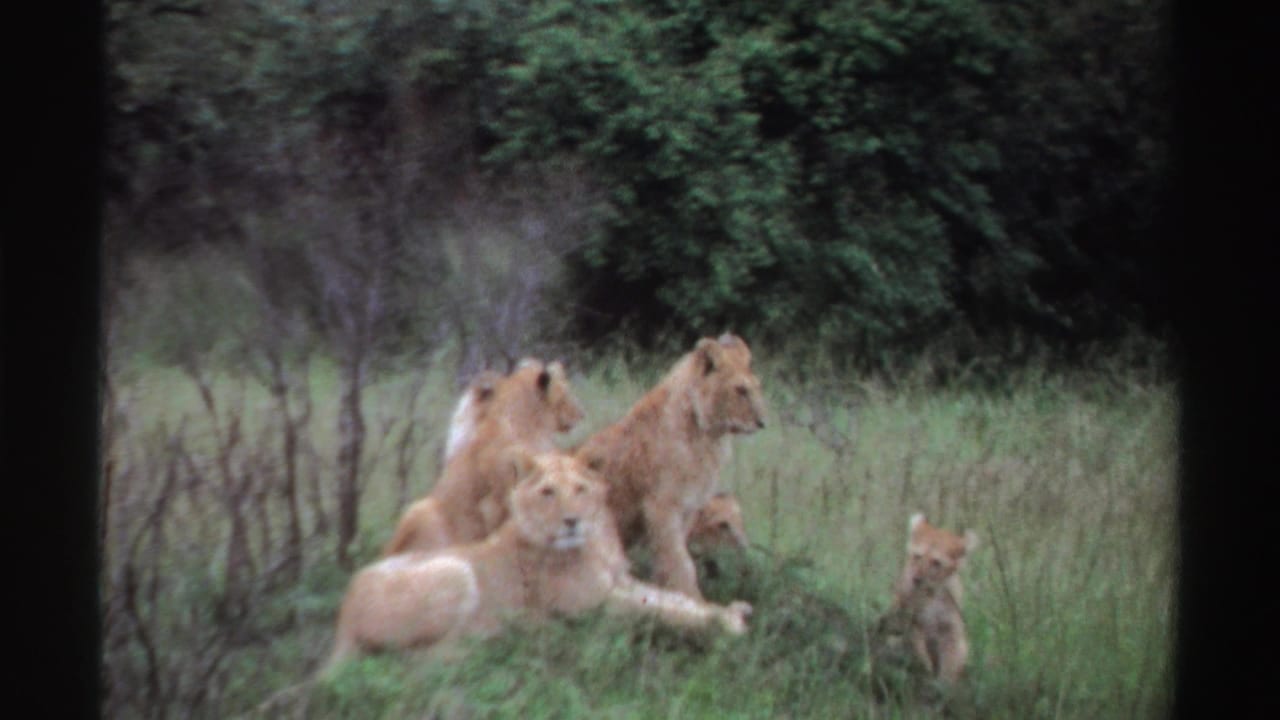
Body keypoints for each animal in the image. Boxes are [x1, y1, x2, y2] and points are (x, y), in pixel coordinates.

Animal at [322, 451, 754, 676]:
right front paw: (727, 625)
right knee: (411, 660)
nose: (571, 521)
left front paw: (730, 610)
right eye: (547, 492)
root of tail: (343, 612)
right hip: (455, 571)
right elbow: (664, 611)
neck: (591, 546)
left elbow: (675, 599)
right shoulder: (594, 606)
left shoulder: (620, 583)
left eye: (580, 489)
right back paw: (503, 640)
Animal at [575, 333, 766, 600]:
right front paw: (693, 600)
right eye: (741, 390)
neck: (708, 437)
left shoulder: (688, 508)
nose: (762, 422)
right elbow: (681, 563)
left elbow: (669, 561)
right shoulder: (662, 507)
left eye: (757, 387)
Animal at [889, 512, 978, 684]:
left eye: (936, 563)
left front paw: (944, 683)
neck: (932, 593)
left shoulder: (950, 630)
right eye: (917, 556)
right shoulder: (910, 620)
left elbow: (951, 660)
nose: (917, 579)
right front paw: (926, 669)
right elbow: (918, 647)